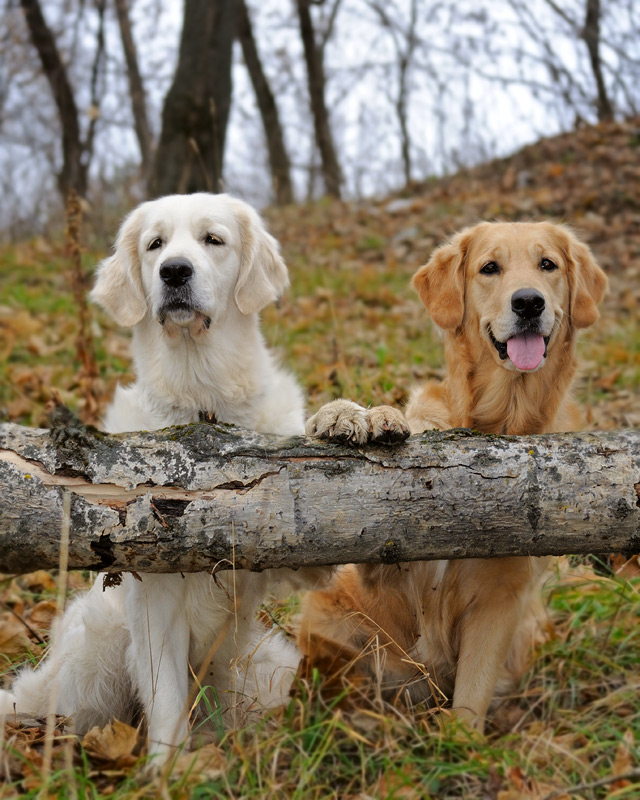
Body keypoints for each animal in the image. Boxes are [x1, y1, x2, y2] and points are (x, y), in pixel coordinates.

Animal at [0, 194, 322, 764]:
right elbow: (166, 698)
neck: (201, 400)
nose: (174, 271)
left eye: (213, 239)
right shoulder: (154, 596)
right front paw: (169, 771)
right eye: (155, 245)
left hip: (265, 668)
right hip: (102, 640)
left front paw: (359, 419)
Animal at [302, 220, 608, 732]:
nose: (529, 302)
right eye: (490, 268)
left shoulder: (502, 597)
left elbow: (471, 699)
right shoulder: (383, 562)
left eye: (548, 264)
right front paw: (351, 414)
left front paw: (461, 743)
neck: (499, 422)